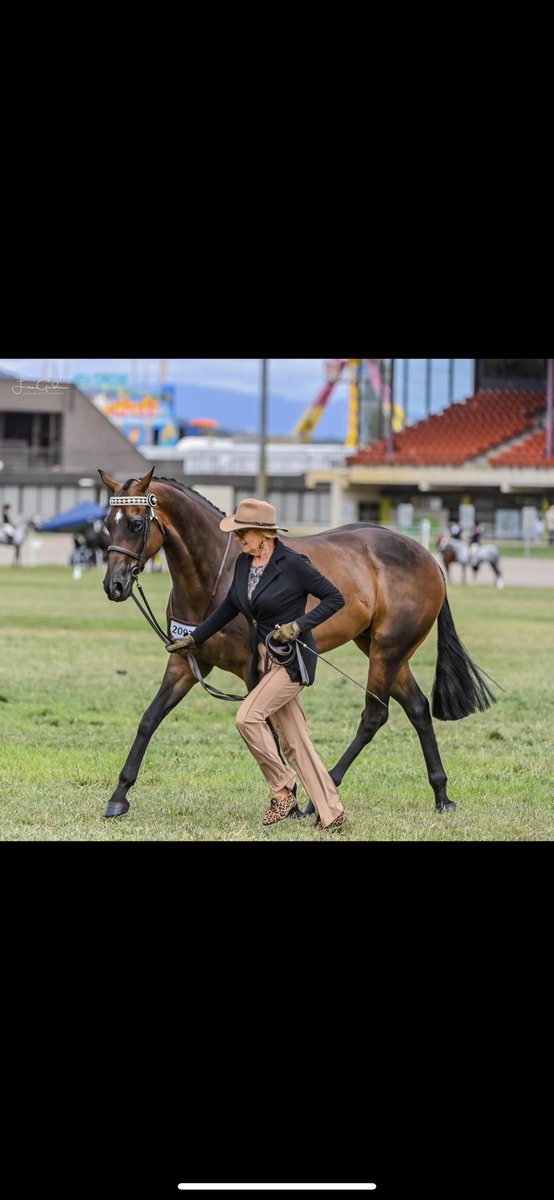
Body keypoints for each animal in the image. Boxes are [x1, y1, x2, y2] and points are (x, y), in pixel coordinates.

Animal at [97, 468, 496, 825]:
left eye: (136, 524)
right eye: (107, 523)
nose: (114, 585)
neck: (213, 574)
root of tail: (429, 558)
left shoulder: (255, 672)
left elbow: (270, 733)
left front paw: (287, 801)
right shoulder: (186, 663)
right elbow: (150, 719)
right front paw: (119, 797)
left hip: (387, 651)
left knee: (374, 716)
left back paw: (319, 797)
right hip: (383, 650)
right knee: (417, 709)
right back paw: (441, 795)